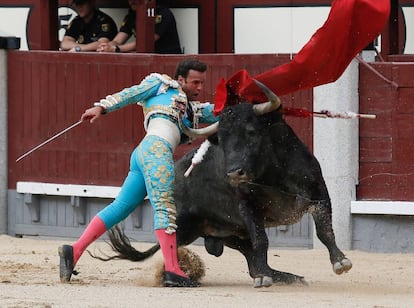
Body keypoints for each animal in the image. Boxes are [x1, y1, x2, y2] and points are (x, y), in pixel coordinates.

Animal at [103, 80, 352, 288]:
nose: (233, 173)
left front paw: (341, 262)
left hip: (231, 232)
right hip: (188, 225)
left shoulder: (318, 192)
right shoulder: (247, 206)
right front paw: (264, 277)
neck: (273, 175)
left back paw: (287, 277)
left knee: (251, 259)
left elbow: (324, 231)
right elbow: (261, 240)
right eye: (222, 140)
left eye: (252, 132)